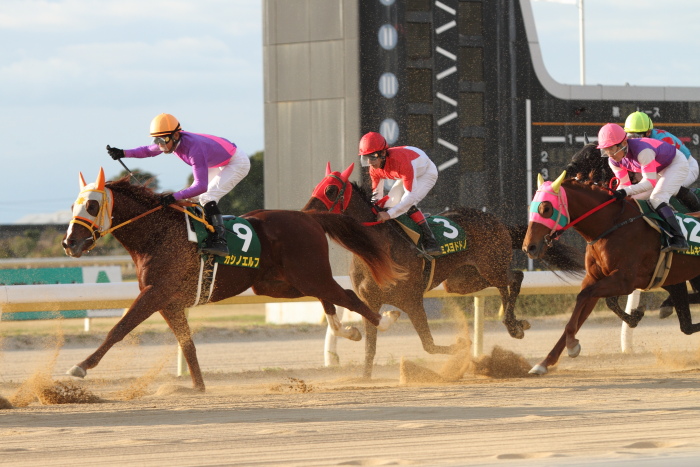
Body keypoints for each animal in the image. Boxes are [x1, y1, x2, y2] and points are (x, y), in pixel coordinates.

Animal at [64, 168, 410, 392]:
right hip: (280, 283)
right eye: (72, 205)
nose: (69, 243)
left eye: (92, 205)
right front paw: (198, 386)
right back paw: (348, 330)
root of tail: (308, 216)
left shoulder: (156, 292)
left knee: (348, 296)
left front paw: (80, 366)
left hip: (307, 274)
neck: (156, 234)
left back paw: (386, 320)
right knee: (332, 297)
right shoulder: (168, 302)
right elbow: (187, 344)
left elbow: (119, 328)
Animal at [300, 163, 580, 378]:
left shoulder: (412, 299)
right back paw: (516, 324)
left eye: (330, 190)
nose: (304, 214)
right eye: (315, 187)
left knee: (514, 277)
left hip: (492, 265)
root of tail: (498, 221)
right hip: (460, 281)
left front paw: (463, 345)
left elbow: (429, 346)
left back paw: (513, 326)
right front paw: (365, 375)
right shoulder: (371, 300)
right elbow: (370, 348)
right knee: (507, 281)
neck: (374, 251)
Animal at [524, 174, 700, 374]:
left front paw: (572, 345)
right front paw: (544, 363)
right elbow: (583, 305)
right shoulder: (594, 278)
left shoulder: (625, 281)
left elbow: (585, 296)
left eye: (546, 208)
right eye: (531, 207)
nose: (529, 247)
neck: (611, 226)